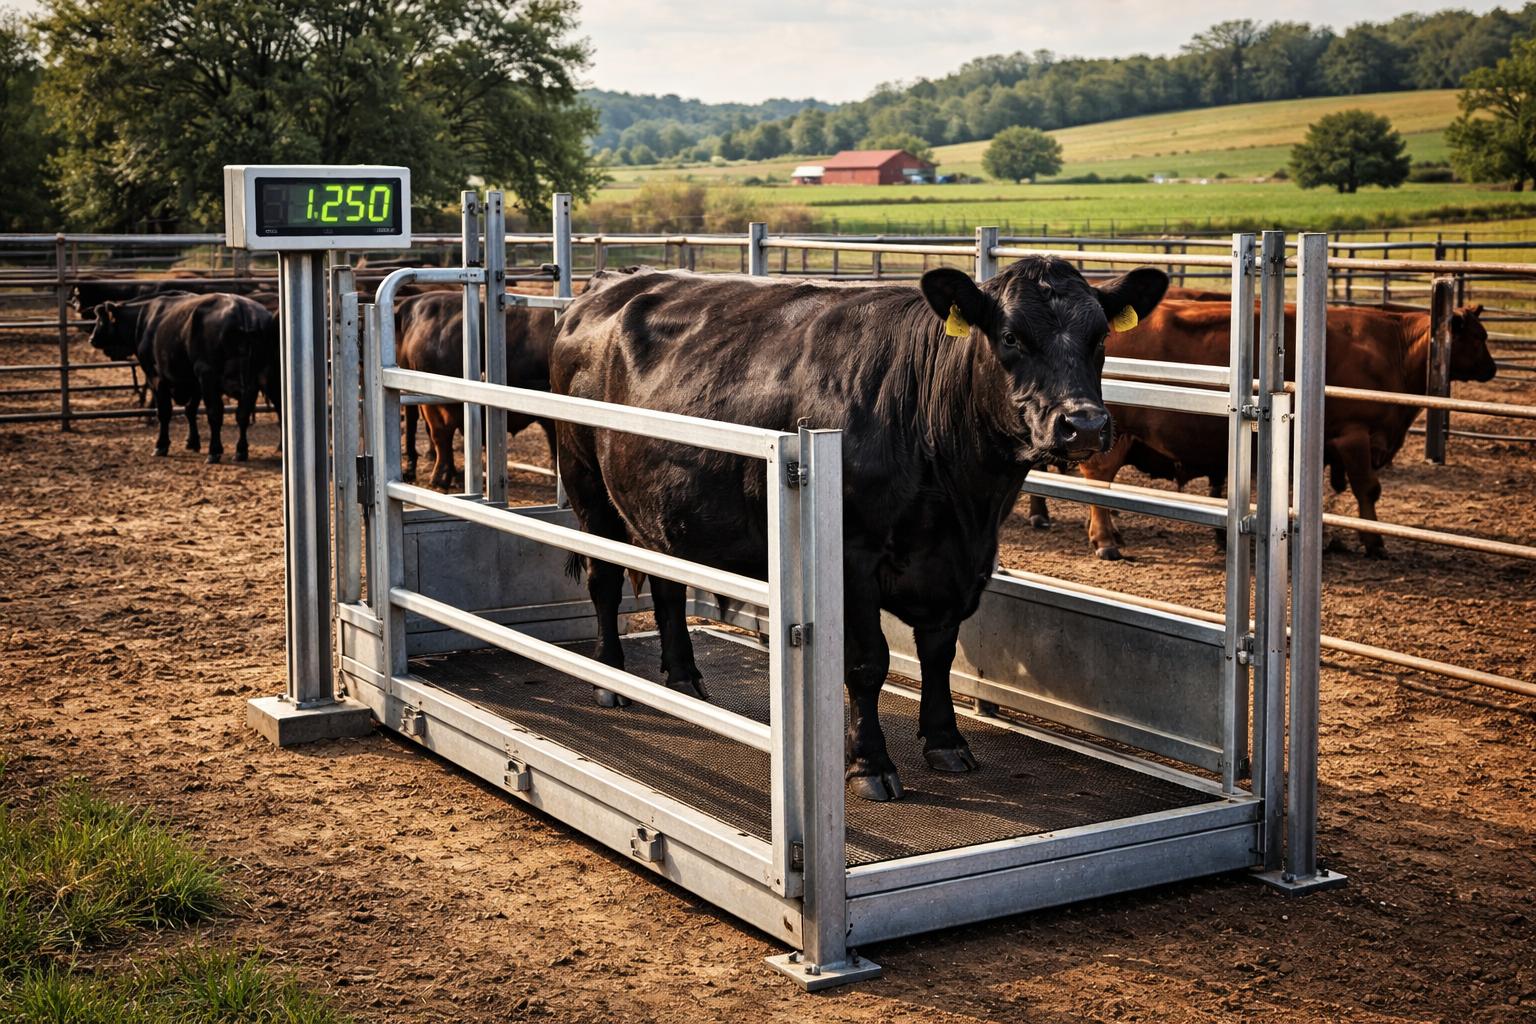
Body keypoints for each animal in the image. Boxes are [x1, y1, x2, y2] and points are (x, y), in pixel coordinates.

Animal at [88, 293, 280, 463]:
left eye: (101, 319)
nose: (91, 339)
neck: (144, 320)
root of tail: (243, 311)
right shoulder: (194, 383)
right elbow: (190, 410)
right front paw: (192, 442)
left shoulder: (157, 377)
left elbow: (164, 412)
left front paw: (161, 445)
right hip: (259, 380)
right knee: (244, 414)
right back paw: (241, 451)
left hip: (211, 377)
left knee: (216, 413)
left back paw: (214, 452)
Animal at [551, 261, 1168, 801]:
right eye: (1011, 336)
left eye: (1100, 336)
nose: (1083, 424)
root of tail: (606, 285)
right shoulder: (851, 558)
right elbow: (868, 663)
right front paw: (869, 764)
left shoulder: (957, 564)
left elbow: (939, 653)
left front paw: (946, 742)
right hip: (587, 488)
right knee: (604, 580)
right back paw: (608, 678)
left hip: (659, 506)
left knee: (666, 584)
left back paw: (683, 680)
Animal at [1032, 300, 1496, 559]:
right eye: (1477, 338)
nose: (1493, 368)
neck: (1392, 348)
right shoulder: (1355, 436)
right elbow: (1368, 488)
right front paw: (1374, 542)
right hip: (1115, 435)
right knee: (1099, 480)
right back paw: (1104, 540)